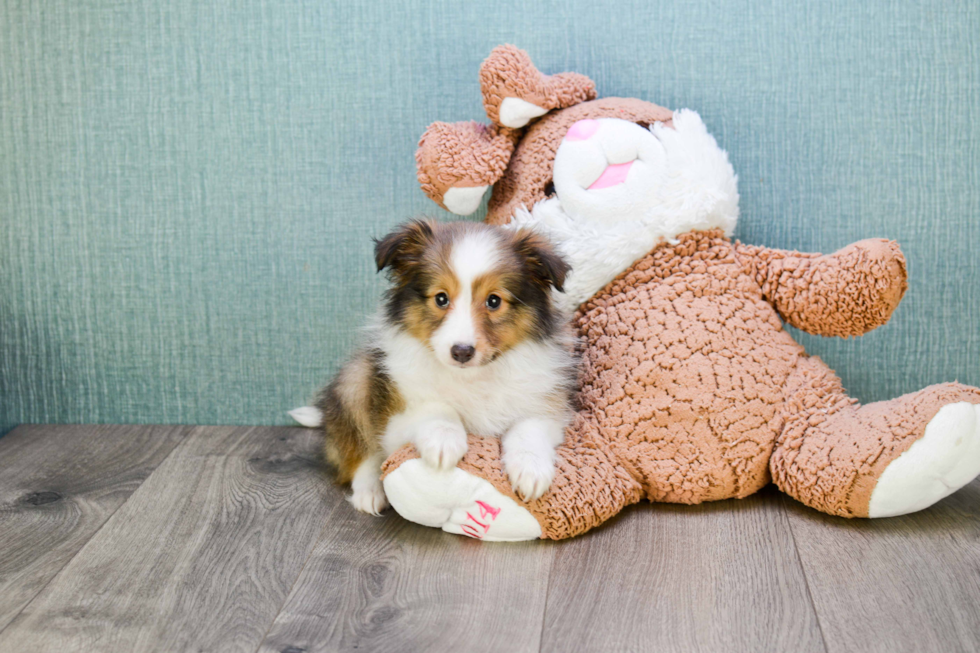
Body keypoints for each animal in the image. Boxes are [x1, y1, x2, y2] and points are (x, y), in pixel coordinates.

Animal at [294, 219, 580, 516]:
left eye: (494, 301)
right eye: (441, 298)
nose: (462, 351)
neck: (471, 378)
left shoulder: (545, 407)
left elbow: (528, 429)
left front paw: (530, 471)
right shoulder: (395, 417)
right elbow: (436, 407)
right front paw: (444, 442)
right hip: (356, 380)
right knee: (358, 451)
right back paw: (368, 492)